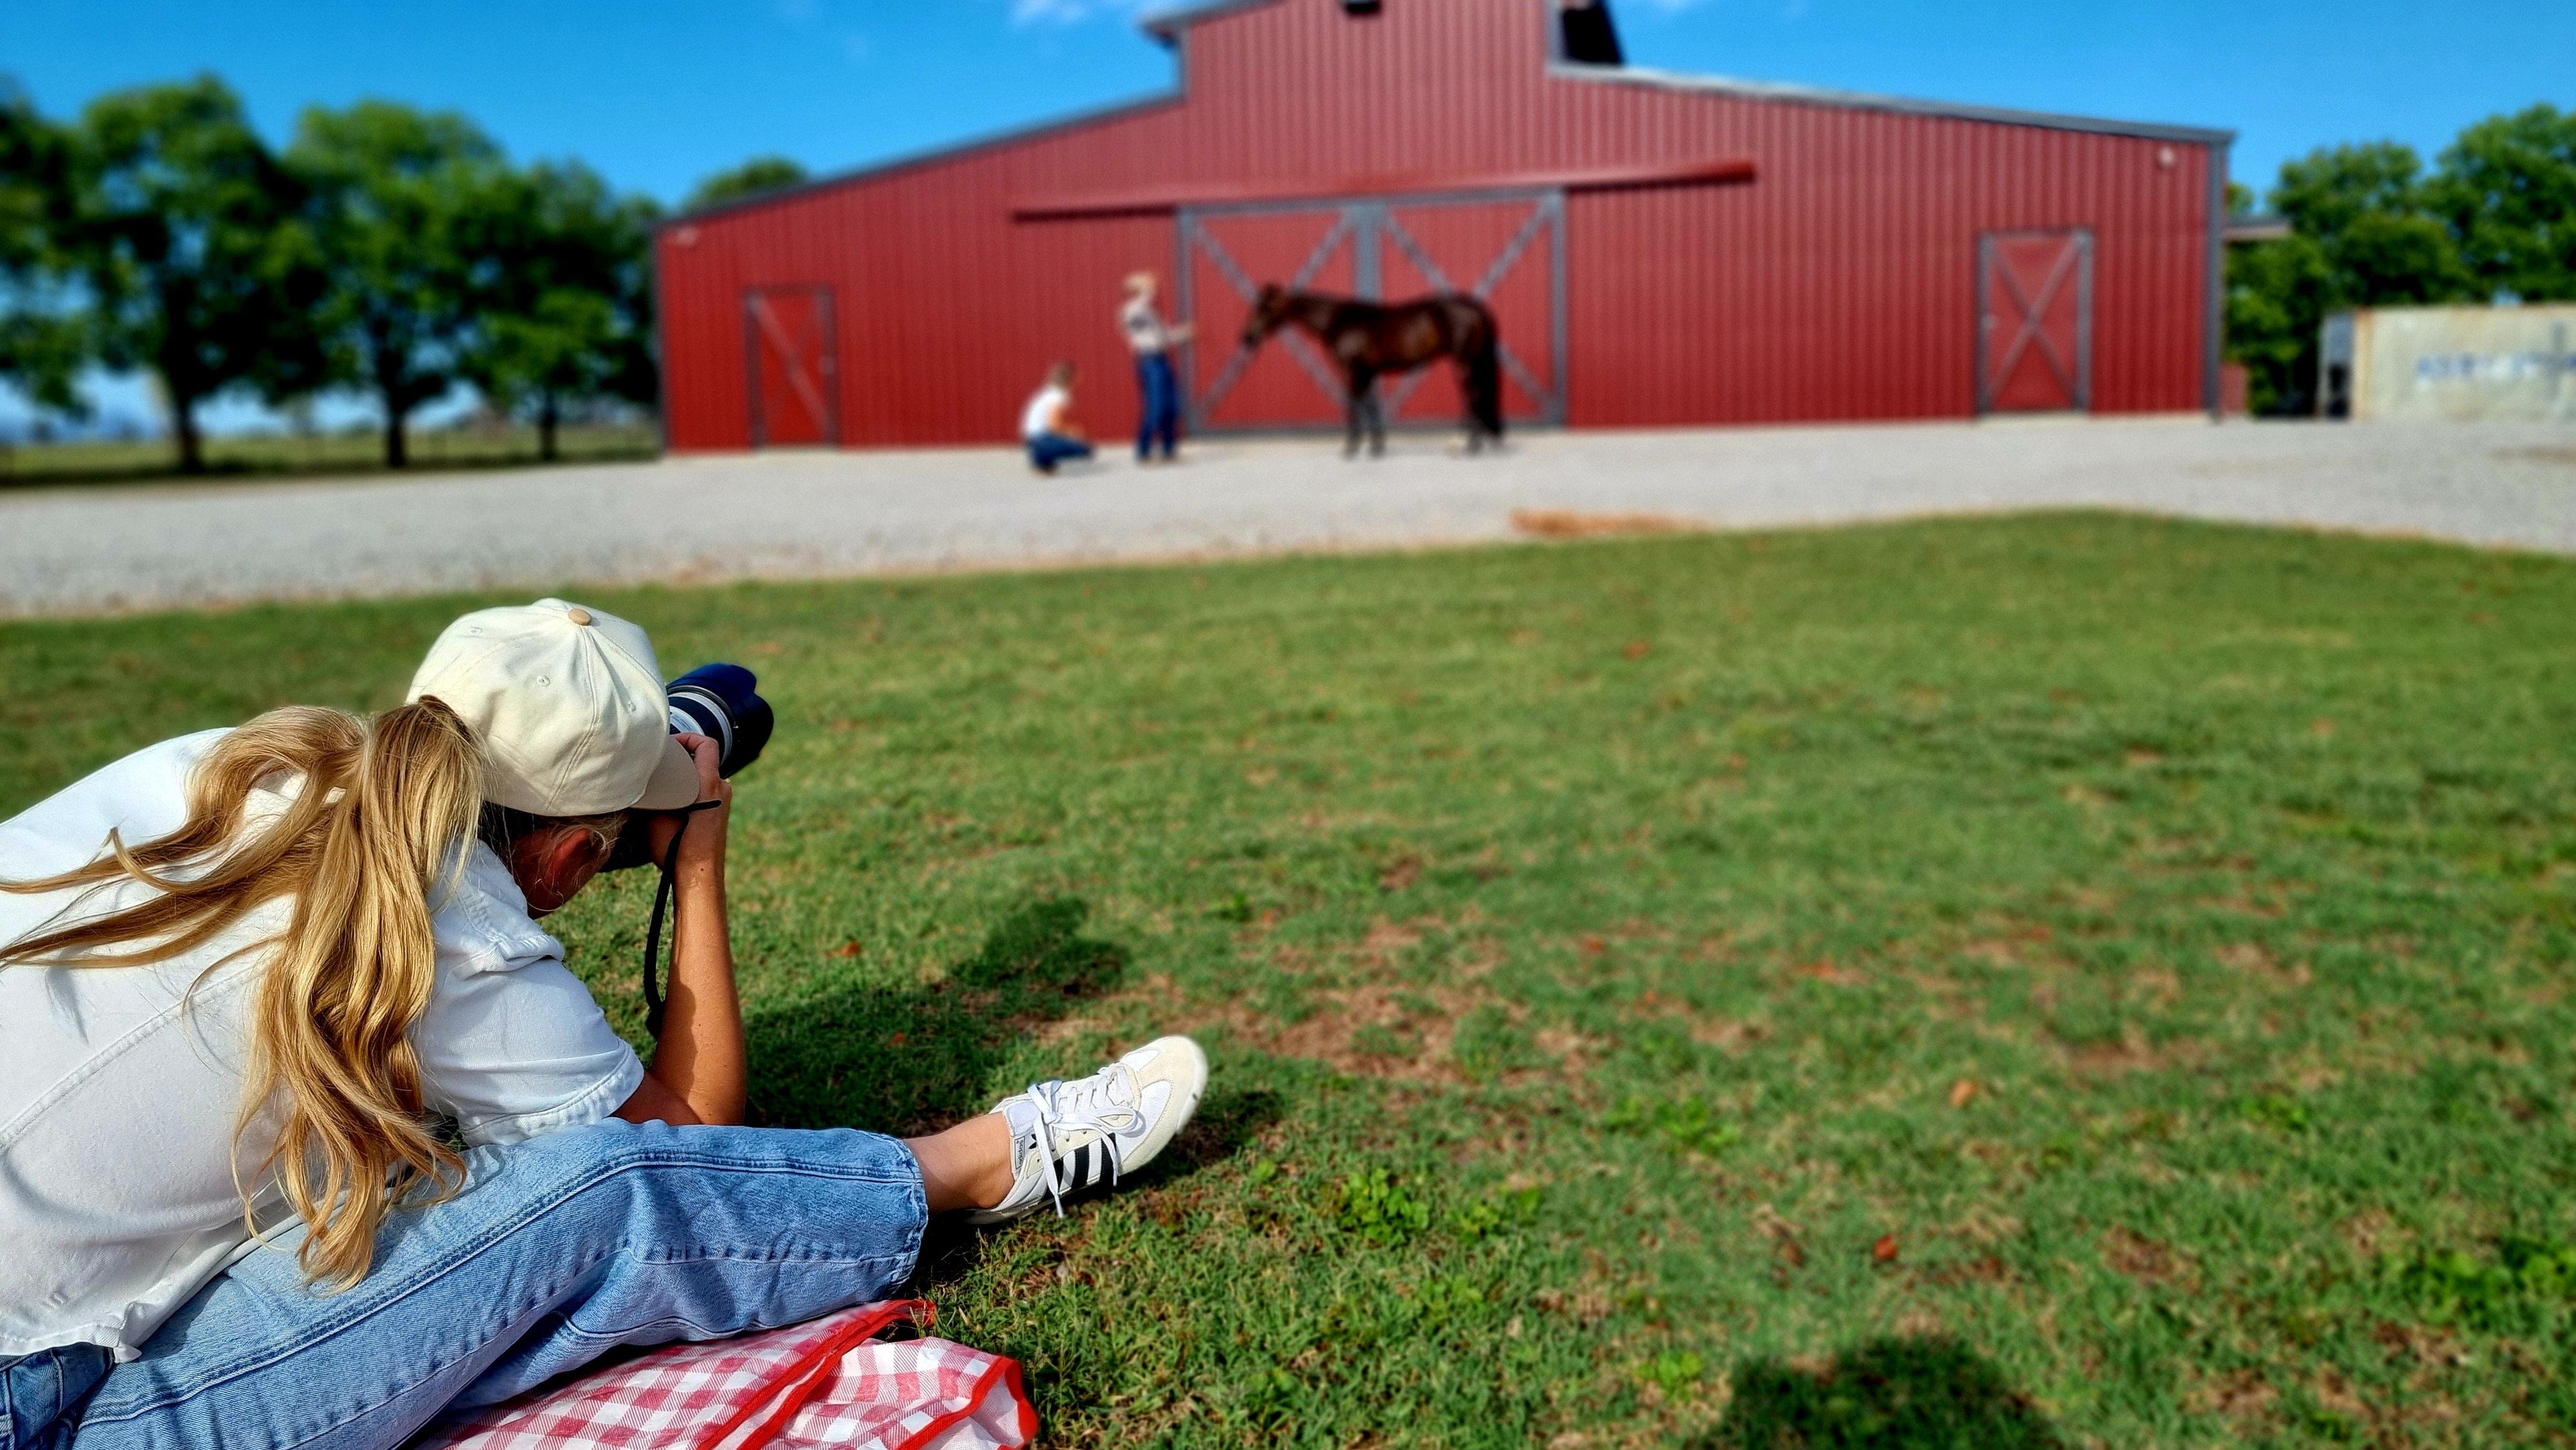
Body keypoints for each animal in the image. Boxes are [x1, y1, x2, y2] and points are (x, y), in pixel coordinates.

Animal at [1239, 285, 1506, 458]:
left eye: (1266, 308)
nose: (1247, 338)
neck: (1339, 320)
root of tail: (1475, 307)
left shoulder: (1352, 371)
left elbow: (1355, 403)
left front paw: (1351, 447)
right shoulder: (1367, 372)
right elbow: (1371, 404)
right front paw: (1377, 446)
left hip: (1465, 362)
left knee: (1474, 397)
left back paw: (1471, 445)